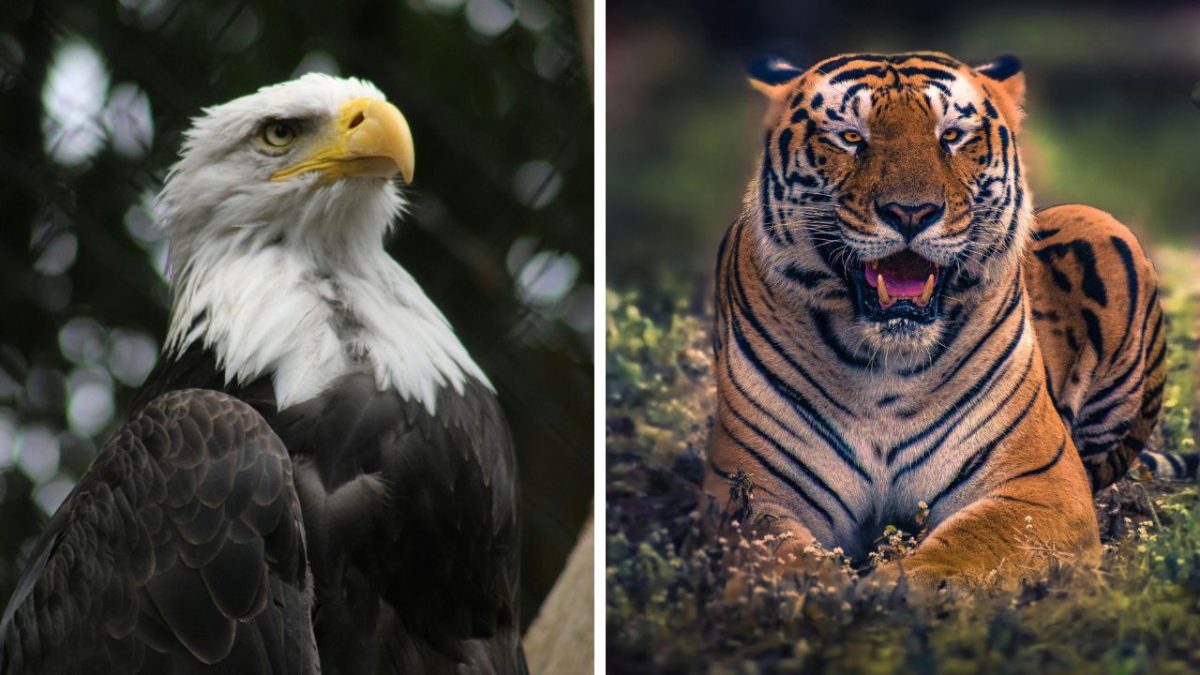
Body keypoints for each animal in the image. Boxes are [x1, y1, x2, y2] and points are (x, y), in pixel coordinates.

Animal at [703, 51, 1167, 587]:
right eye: (851, 137)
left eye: (951, 136)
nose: (910, 212)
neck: (884, 367)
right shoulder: (749, 489)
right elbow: (777, 559)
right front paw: (823, 591)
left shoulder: (1040, 484)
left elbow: (971, 546)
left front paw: (894, 589)